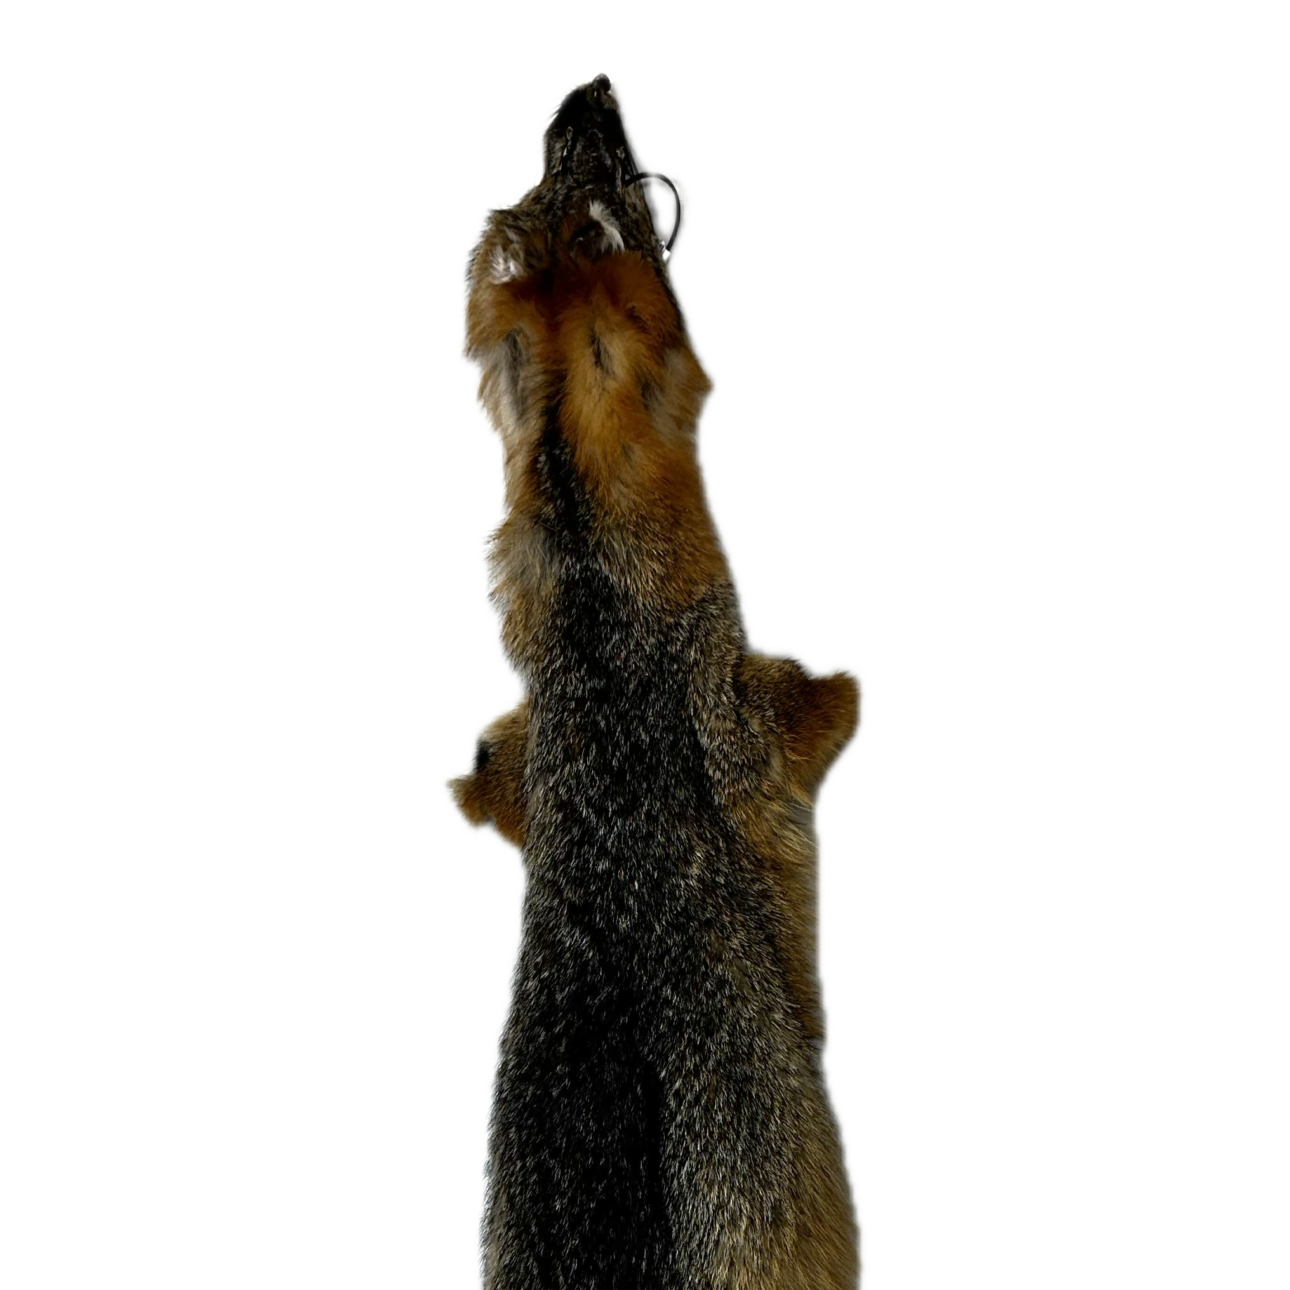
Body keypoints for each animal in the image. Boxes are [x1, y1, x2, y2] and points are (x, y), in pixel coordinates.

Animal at [443, 68, 869, 1289]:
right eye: (586, 178)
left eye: (541, 164)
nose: (585, 86)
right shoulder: (742, 707)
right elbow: (811, 703)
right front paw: (845, 682)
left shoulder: (517, 752)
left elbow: (483, 774)